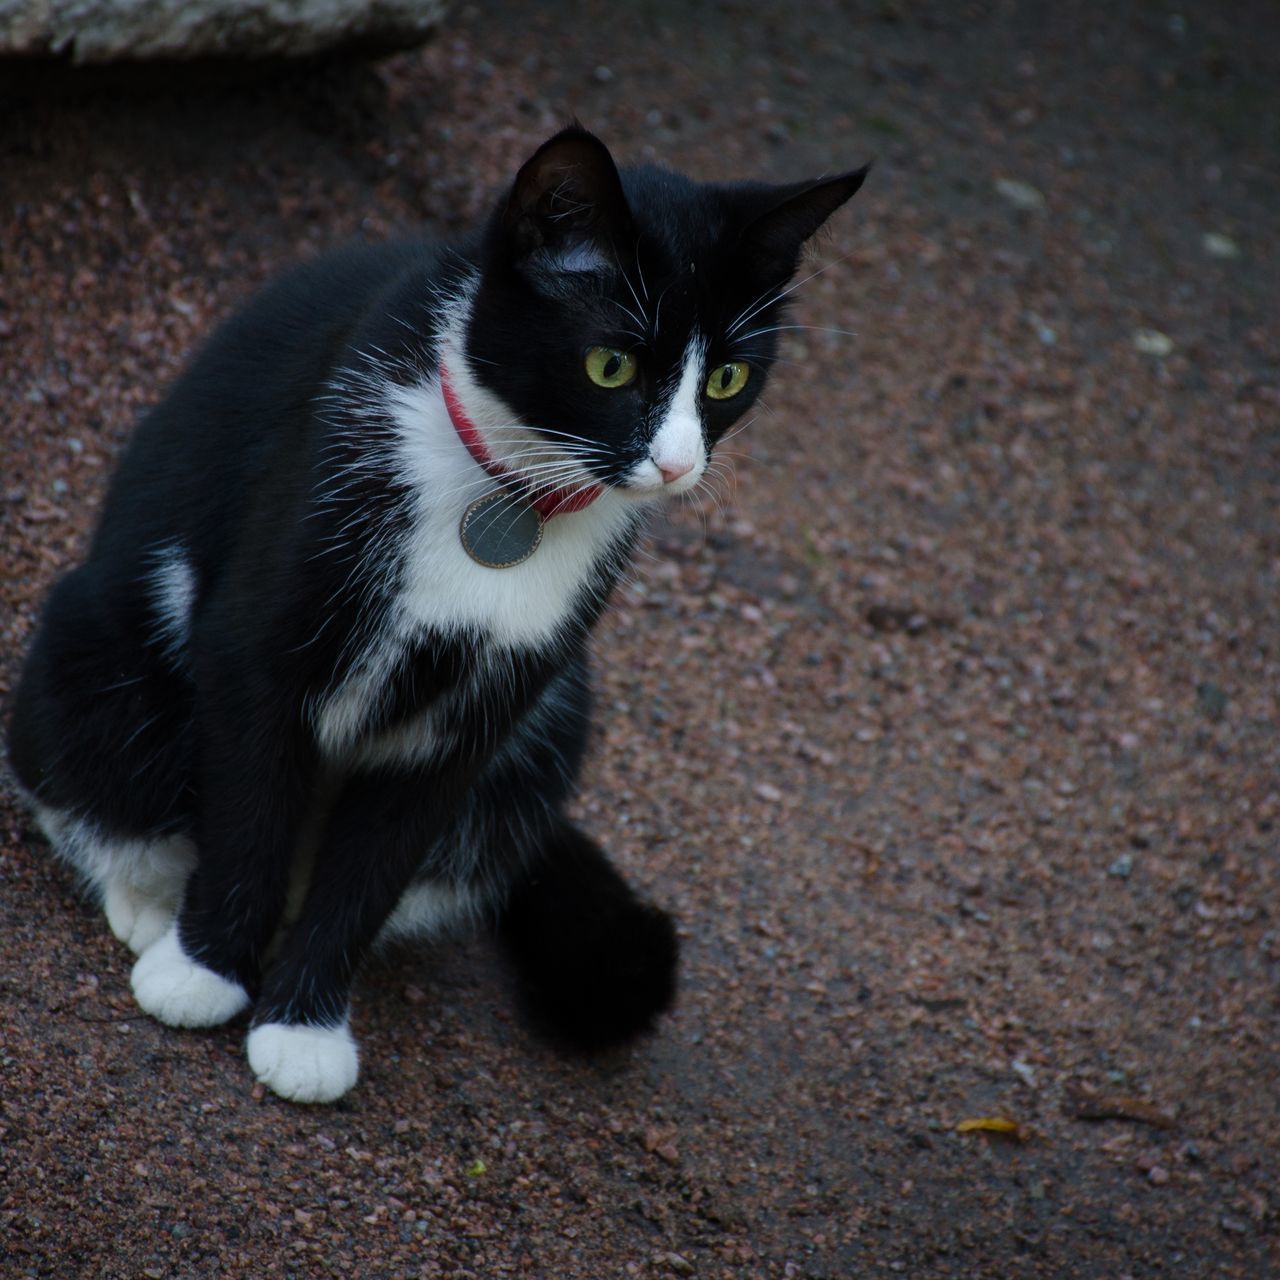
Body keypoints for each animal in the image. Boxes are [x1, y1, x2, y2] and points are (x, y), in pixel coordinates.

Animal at [7, 127, 870, 1100]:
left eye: (725, 378)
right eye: (610, 364)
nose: (678, 465)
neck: (509, 489)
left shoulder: (483, 709)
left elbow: (377, 861)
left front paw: (303, 1025)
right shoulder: (260, 640)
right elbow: (250, 805)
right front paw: (204, 971)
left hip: (559, 711)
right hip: (101, 643)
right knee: (95, 773)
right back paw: (151, 902)